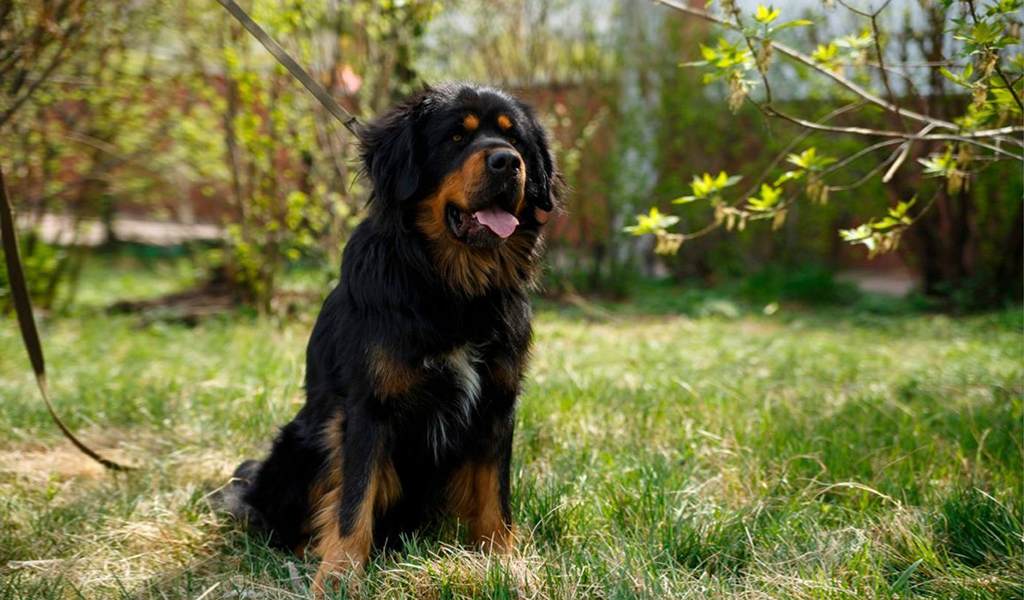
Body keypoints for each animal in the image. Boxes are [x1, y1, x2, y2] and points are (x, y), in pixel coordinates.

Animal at [226, 81, 561, 589]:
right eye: (456, 138)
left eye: (515, 139)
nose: (507, 162)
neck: (451, 288)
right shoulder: (369, 407)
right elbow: (352, 502)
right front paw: (339, 576)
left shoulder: (498, 402)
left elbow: (494, 494)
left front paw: (504, 562)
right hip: (305, 441)